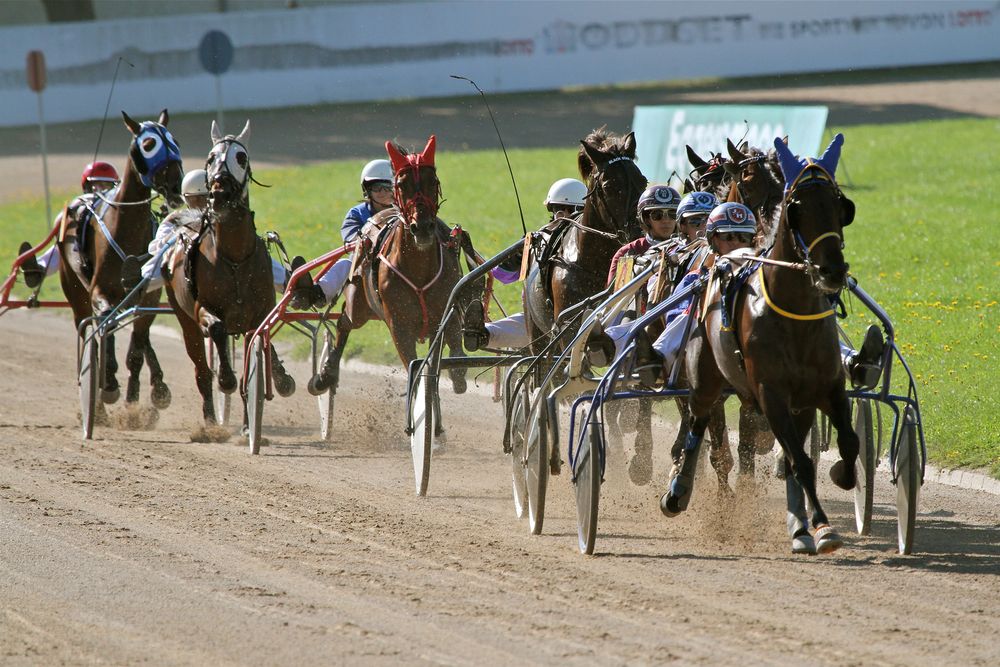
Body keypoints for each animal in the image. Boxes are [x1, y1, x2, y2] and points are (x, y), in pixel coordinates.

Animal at [56, 108, 184, 412]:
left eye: (174, 140)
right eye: (149, 144)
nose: (176, 184)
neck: (126, 226)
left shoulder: (148, 295)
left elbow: (138, 343)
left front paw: (135, 398)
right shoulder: (99, 291)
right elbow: (105, 324)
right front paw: (109, 381)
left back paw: (156, 385)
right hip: (75, 292)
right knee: (90, 328)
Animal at [164, 120, 294, 428]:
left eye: (241, 157)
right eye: (211, 157)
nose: (220, 192)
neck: (234, 258)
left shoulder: (260, 312)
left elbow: (260, 344)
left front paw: (278, 381)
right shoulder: (202, 309)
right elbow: (218, 329)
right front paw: (226, 379)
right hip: (184, 318)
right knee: (201, 367)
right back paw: (211, 419)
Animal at [306, 134, 474, 410]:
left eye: (432, 181)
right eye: (402, 185)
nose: (422, 227)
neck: (418, 270)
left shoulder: (445, 316)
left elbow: (453, 354)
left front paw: (457, 378)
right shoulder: (400, 328)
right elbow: (416, 372)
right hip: (358, 304)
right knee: (343, 322)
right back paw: (325, 376)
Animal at [664, 133, 860, 556]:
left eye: (840, 206)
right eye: (797, 207)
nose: (831, 270)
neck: (793, 311)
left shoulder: (827, 387)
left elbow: (846, 444)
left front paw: (835, 483)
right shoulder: (769, 392)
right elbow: (795, 461)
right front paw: (821, 526)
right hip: (705, 380)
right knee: (699, 425)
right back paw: (678, 490)